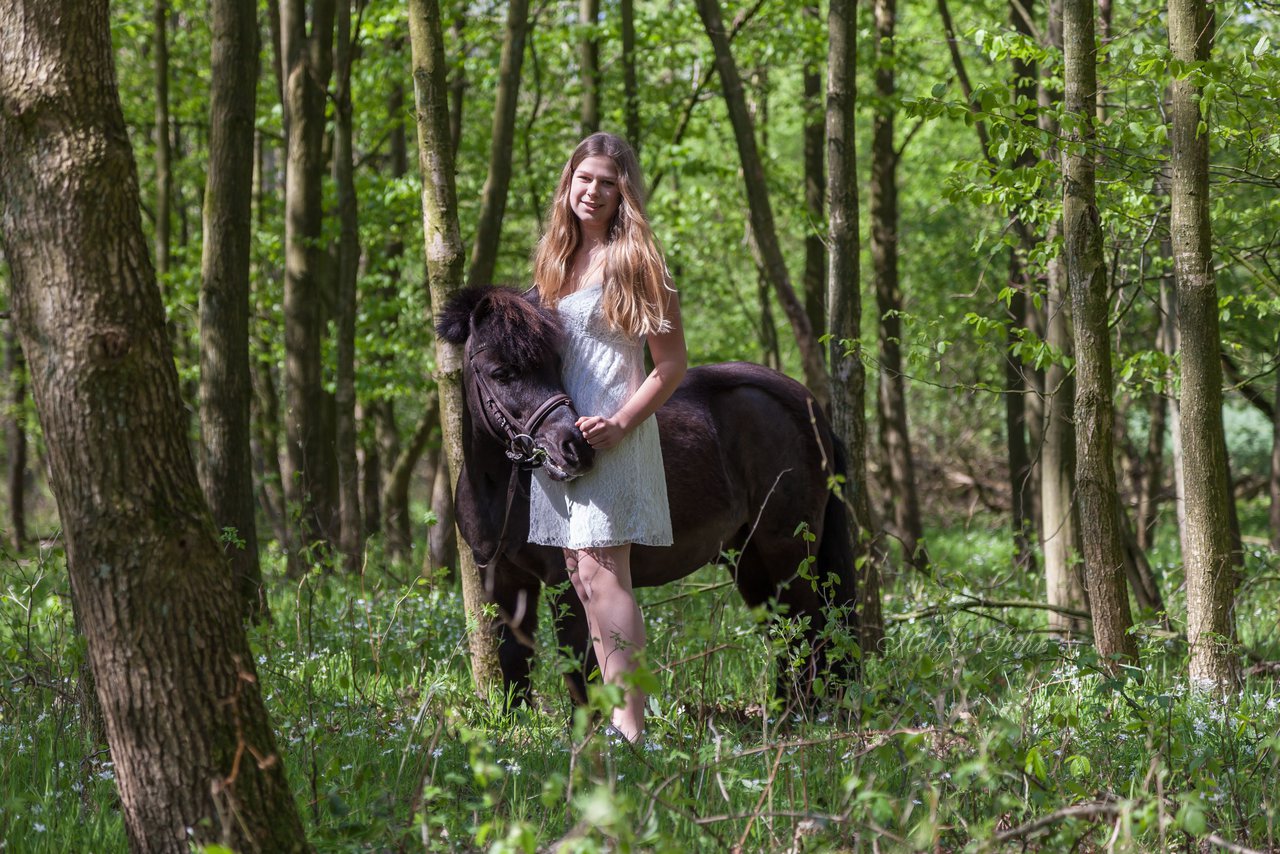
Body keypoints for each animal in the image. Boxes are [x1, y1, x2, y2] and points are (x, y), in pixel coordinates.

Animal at [432, 286, 860, 706]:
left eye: (556, 364)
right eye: (501, 373)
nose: (573, 448)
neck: (498, 492)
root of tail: (807, 407)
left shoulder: (564, 583)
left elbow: (581, 673)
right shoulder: (502, 582)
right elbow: (515, 671)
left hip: (786, 550)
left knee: (811, 632)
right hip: (749, 557)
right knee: (789, 636)